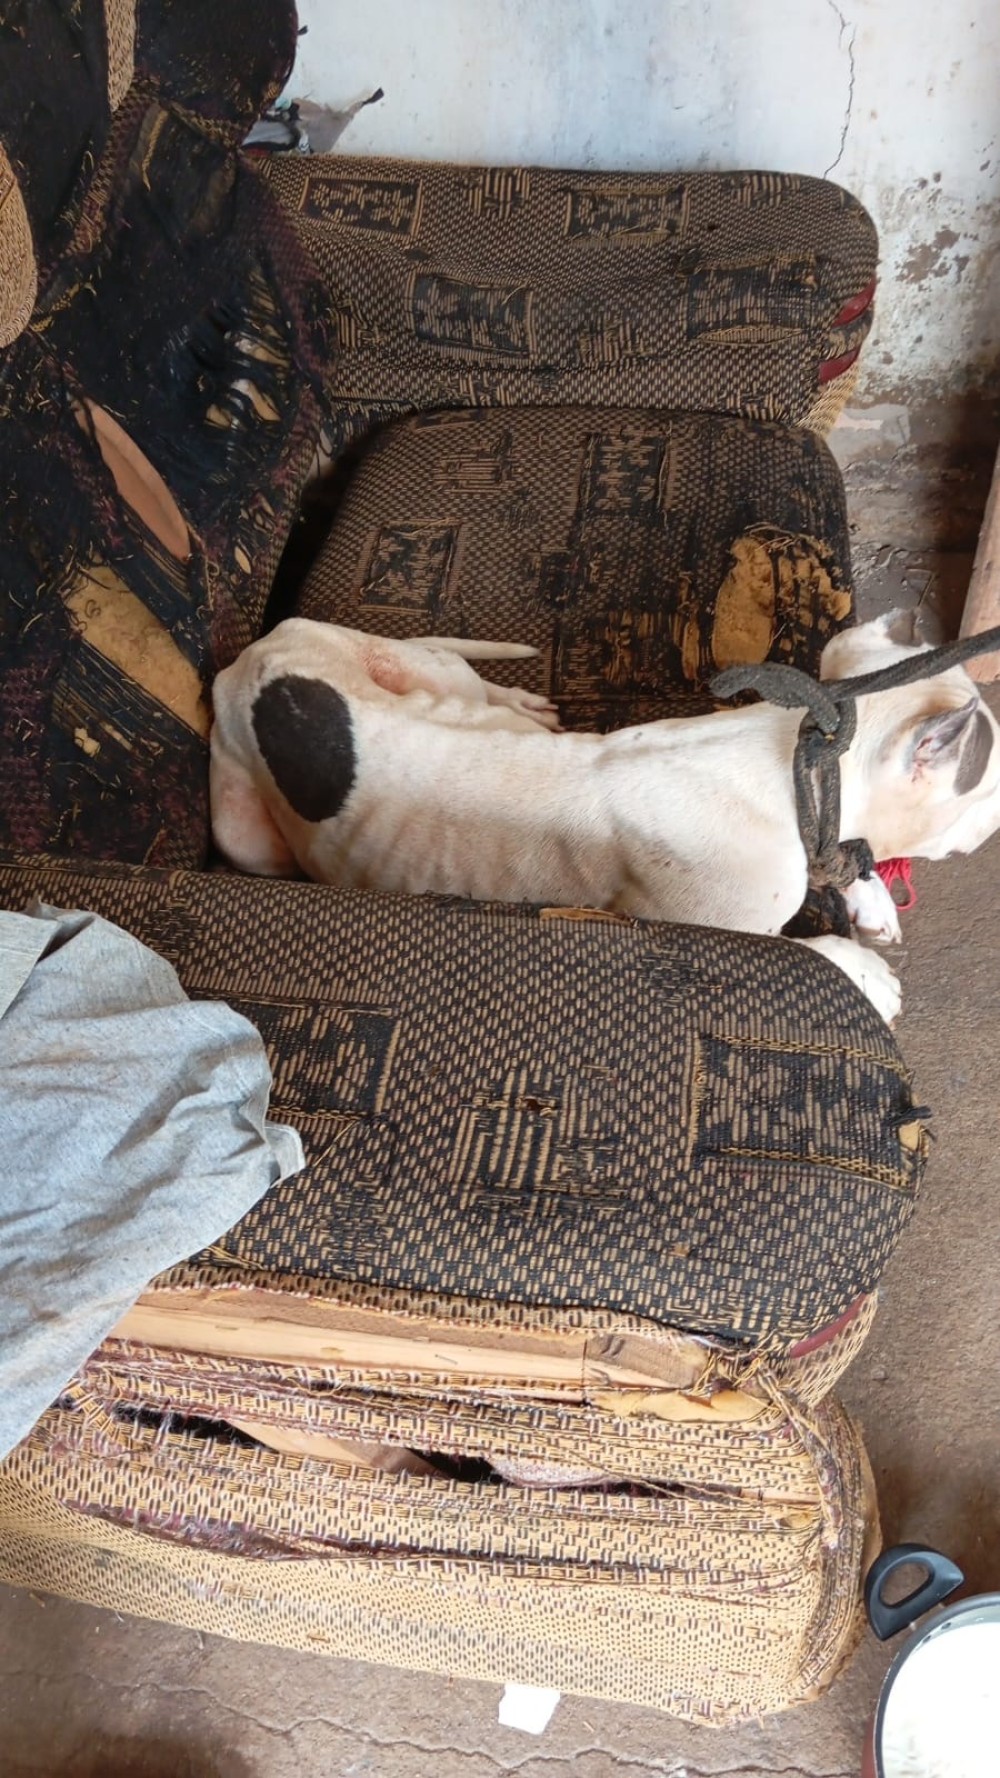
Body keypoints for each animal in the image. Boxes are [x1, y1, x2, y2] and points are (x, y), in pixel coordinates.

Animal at [209, 610, 1000, 1026]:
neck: (793, 762)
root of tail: (255, 654)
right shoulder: (722, 931)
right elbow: (810, 952)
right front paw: (863, 972)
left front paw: (870, 898)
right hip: (245, 841)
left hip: (419, 671)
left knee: (462, 679)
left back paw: (519, 705)